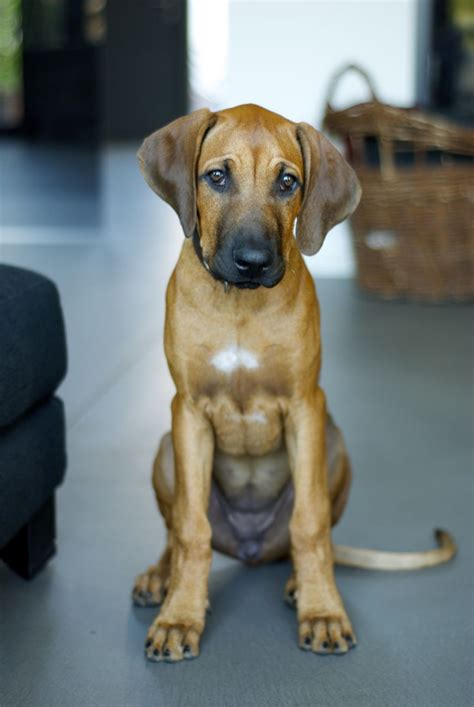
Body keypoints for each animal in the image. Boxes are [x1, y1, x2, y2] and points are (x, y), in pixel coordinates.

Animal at [131, 103, 458, 664]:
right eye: (217, 177)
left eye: (288, 182)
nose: (253, 262)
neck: (239, 304)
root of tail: (253, 546)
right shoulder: (187, 409)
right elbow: (191, 529)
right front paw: (180, 617)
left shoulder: (307, 406)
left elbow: (310, 525)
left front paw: (322, 610)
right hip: (165, 450)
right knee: (176, 531)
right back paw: (162, 577)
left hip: (335, 445)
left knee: (306, 537)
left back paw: (296, 585)